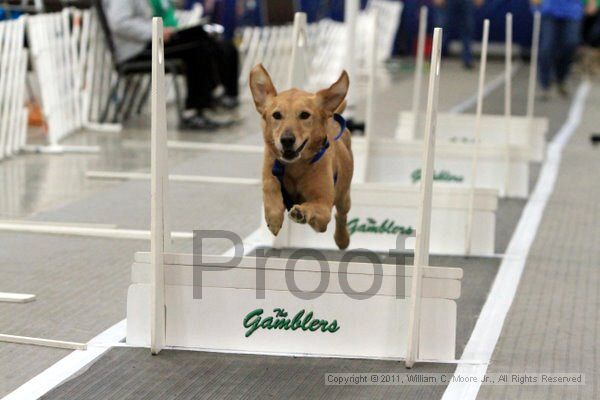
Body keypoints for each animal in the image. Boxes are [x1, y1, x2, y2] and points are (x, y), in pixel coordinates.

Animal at [247, 64, 352, 248]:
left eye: (304, 115)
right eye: (276, 115)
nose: (287, 140)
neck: (296, 166)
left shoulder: (324, 207)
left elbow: (314, 208)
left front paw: (301, 211)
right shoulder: (270, 166)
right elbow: (270, 186)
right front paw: (274, 217)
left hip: (344, 196)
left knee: (341, 215)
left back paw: (342, 239)